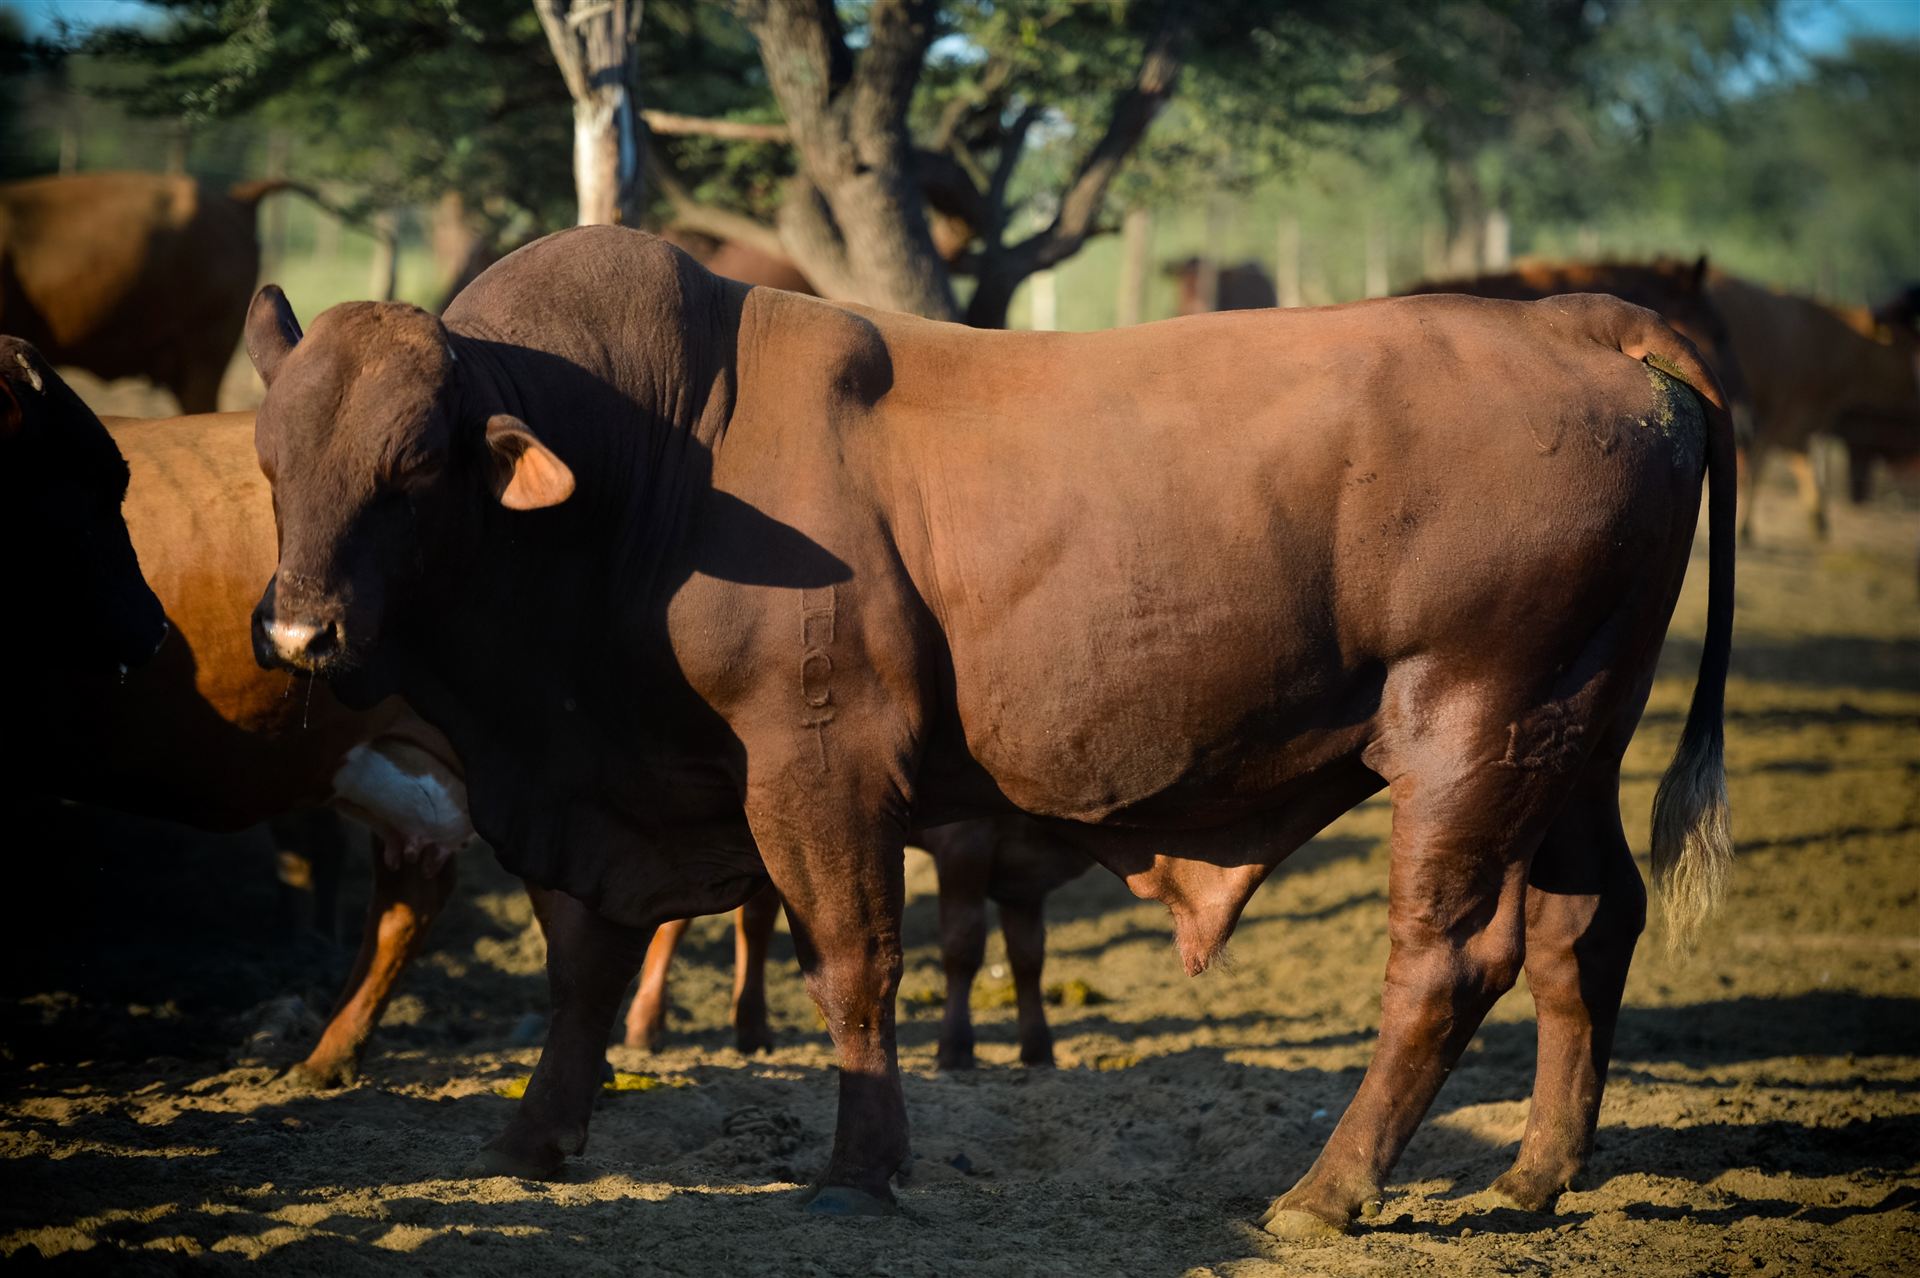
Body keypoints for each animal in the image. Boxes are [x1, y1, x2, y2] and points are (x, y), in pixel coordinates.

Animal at [245, 225, 1734, 1237]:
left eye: (414, 462)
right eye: (269, 453)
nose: (299, 631)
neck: (653, 463)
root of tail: (1584, 322)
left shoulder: (819, 765)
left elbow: (855, 964)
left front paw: (860, 1168)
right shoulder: (609, 790)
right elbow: (586, 967)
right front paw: (536, 1137)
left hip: (1471, 731)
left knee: (1449, 960)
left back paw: (1329, 1189)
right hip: (1572, 737)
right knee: (1584, 926)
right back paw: (1538, 1170)